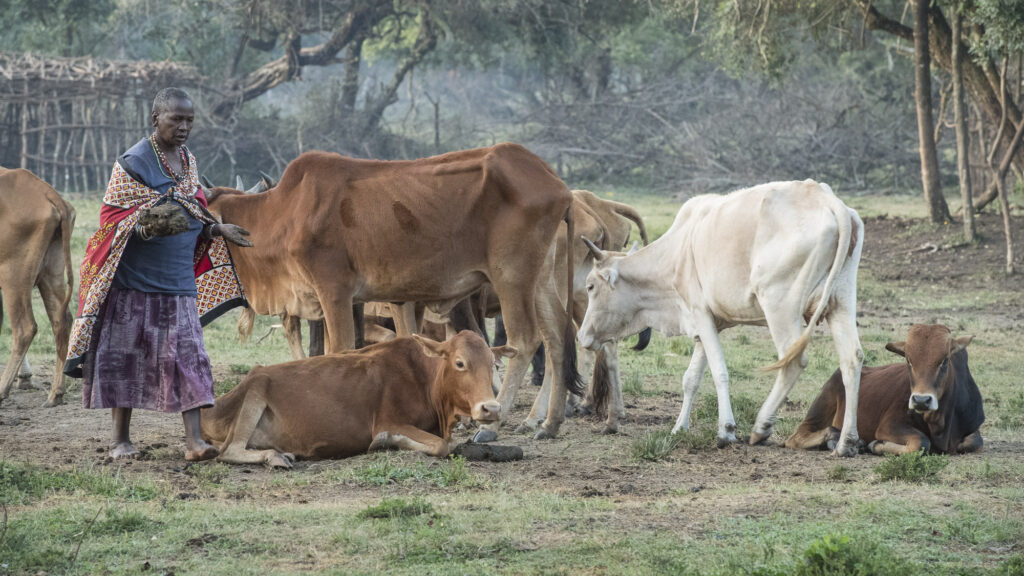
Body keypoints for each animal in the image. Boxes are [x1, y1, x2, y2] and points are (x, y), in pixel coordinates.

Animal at [0, 168, 75, 408]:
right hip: (50, 273)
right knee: (61, 321)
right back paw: (56, 393)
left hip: (13, 277)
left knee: (24, 328)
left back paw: (2, 390)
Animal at [199, 331, 516, 467]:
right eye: (460, 363)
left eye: (493, 364)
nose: (490, 408)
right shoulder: (388, 420)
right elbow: (441, 445)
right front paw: (383, 443)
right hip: (256, 386)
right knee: (229, 451)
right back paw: (275, 456)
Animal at [205, 143, 581, 440]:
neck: (287, 211)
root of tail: (555, 181)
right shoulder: (353, 300)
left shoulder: (334, 290)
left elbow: (338, 349)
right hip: (539, 279)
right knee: (556, 338)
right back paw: (548, 423)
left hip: (512, 276)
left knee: (525, 339)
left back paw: (493, 422)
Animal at [578, 180, 866, 456]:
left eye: (590, 286)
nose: (582, 335)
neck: (678, 251)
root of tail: (824, 198)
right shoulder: (706, 324)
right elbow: (691, 379)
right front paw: (679, 428)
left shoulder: (700, 313)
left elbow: (719, 371)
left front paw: (725, 430)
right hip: (840, 303)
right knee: (852, 359)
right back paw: (846, 442)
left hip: (779, 306)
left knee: (793, 361)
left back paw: (761, 427)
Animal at [786, 324, 983, 455]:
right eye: (909, 360)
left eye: (944, 360)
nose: (921, 400)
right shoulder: (889, 426)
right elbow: (921, 443)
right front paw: (877, 445)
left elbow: (975, 441)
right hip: (817, 411)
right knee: (796, 437)